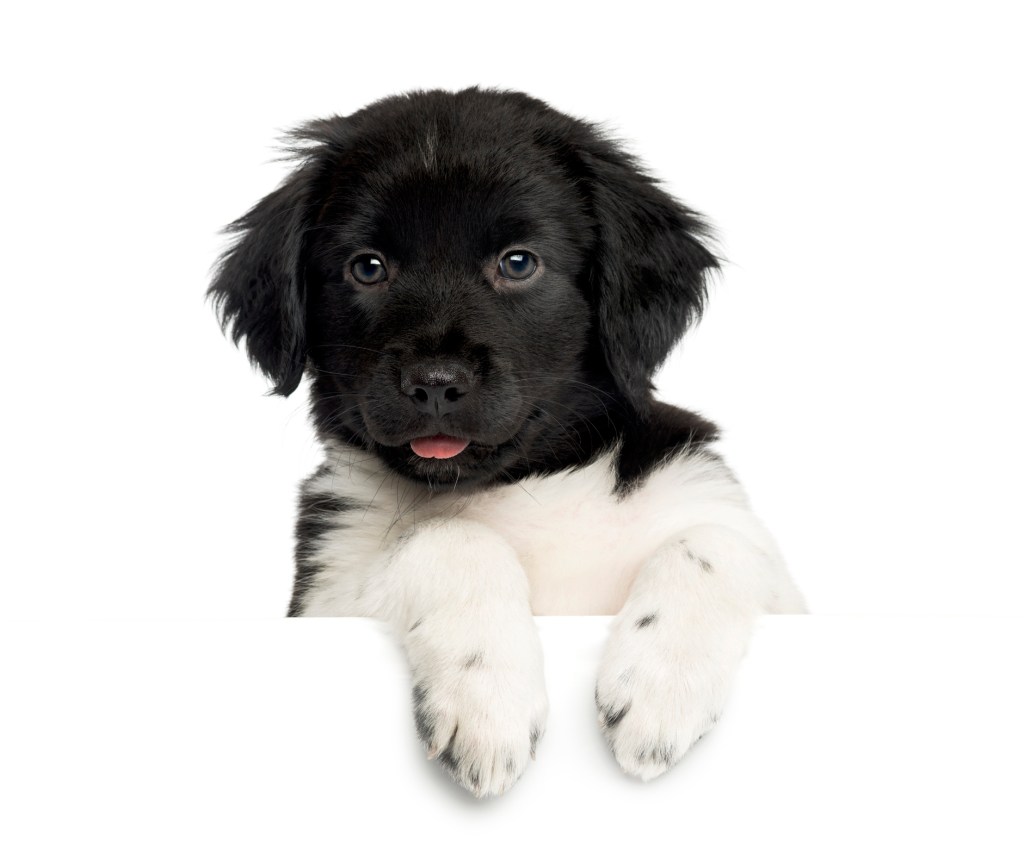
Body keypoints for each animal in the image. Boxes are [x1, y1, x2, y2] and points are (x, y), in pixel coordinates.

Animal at [209, 88, 806, 798]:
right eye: (368, 268)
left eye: (518, 263)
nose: (435, 383)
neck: (526, 487)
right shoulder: (326, 595)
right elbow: (445, 535)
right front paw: (486, 696)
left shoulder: (730, 529)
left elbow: (719, 543)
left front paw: (661, 686)